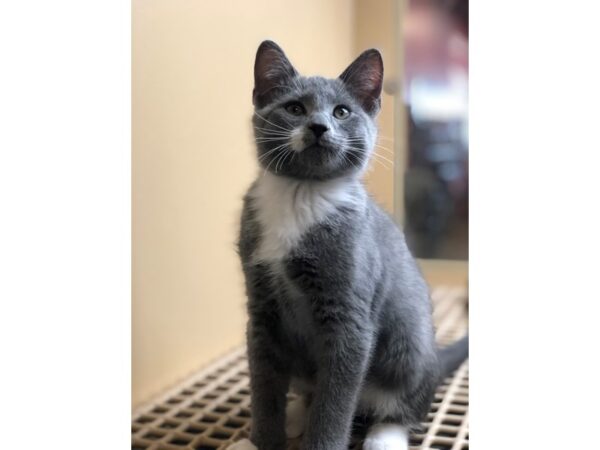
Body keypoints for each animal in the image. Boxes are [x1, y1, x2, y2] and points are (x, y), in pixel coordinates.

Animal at [230, 39, 468, 450]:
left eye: (342, 112)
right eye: (295, 108)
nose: (319, 126)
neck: (302, 193)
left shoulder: (349, 315)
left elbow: (336, 400)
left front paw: (322, 440)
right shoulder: (261, 309)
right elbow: (265, 385)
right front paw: (259, 440)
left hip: (409, 347)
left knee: (402, 405)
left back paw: (384, 436)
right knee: (310, 390)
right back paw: (297, 415)